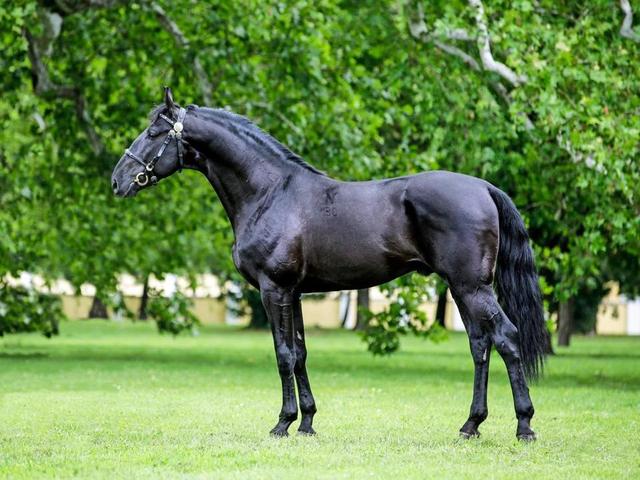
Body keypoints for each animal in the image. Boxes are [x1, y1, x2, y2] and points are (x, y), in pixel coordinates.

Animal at [112, 88, 550, 441]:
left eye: (154, 133)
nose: (118, 181)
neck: (270, 192)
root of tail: (484, 187)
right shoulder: (295, 294)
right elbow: (301, 353)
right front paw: (306, 423)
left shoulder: (274, 289)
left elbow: (283, 355)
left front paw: (282, 423)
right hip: (462, 288)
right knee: (480, 346)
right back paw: (471, 424)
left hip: (472, 287)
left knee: (506, 339)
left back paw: (524, 425)